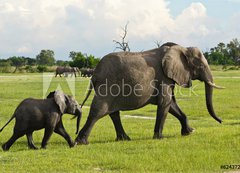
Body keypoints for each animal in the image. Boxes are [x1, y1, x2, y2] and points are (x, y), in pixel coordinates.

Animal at [74, 42, 223, 144]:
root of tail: (95, 73)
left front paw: (189, 132)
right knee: (98, 111)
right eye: (201, 66)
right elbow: (165, 103)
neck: (182, 48)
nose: (221, 121)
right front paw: (160, 138)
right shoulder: (164, 78)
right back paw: (81, 142)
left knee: (113, 113)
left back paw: (124, 139)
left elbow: (172, 104)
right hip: (108, 85)